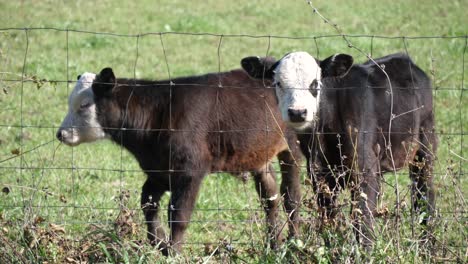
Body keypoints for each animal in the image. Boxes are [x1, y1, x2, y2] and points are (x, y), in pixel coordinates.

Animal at [56, 65, 302, 254]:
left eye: (85, 105)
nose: (61, 134)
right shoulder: (159, 171)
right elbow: (148, 204)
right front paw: (159, 243)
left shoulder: (190, 171)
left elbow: (178, 214)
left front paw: (173, 251)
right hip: (259, 155)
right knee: (270, 198)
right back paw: (274, 244)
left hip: (293, 146)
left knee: (291, 196)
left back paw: (294, 243)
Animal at [243, 51, 436, 245]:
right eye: (278, 83)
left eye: (315, 83)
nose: (297, 112)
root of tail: (404, 58)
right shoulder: (319, 174)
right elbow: (329, 218)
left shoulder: (364, 169)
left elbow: (363, 220)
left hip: (425, 146)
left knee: (425, 195)